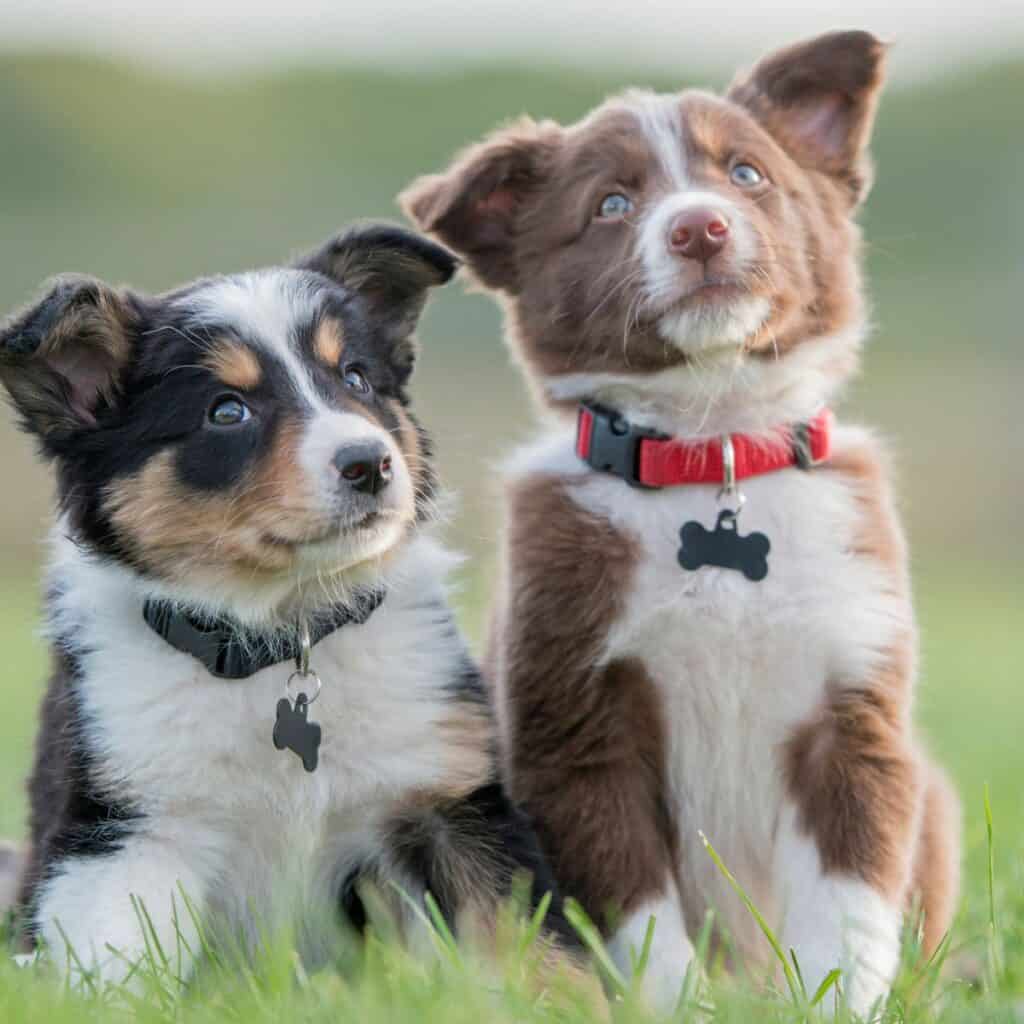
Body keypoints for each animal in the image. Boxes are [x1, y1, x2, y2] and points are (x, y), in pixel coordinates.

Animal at [405, 29, 958, 1007]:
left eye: (746, 174)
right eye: (612, 204)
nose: (700, 227)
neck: (713, 452)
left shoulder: (854, 708)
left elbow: (849, 905)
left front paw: (831, 1003)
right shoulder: (576, 726)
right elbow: (641, 918)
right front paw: (684, 1005)